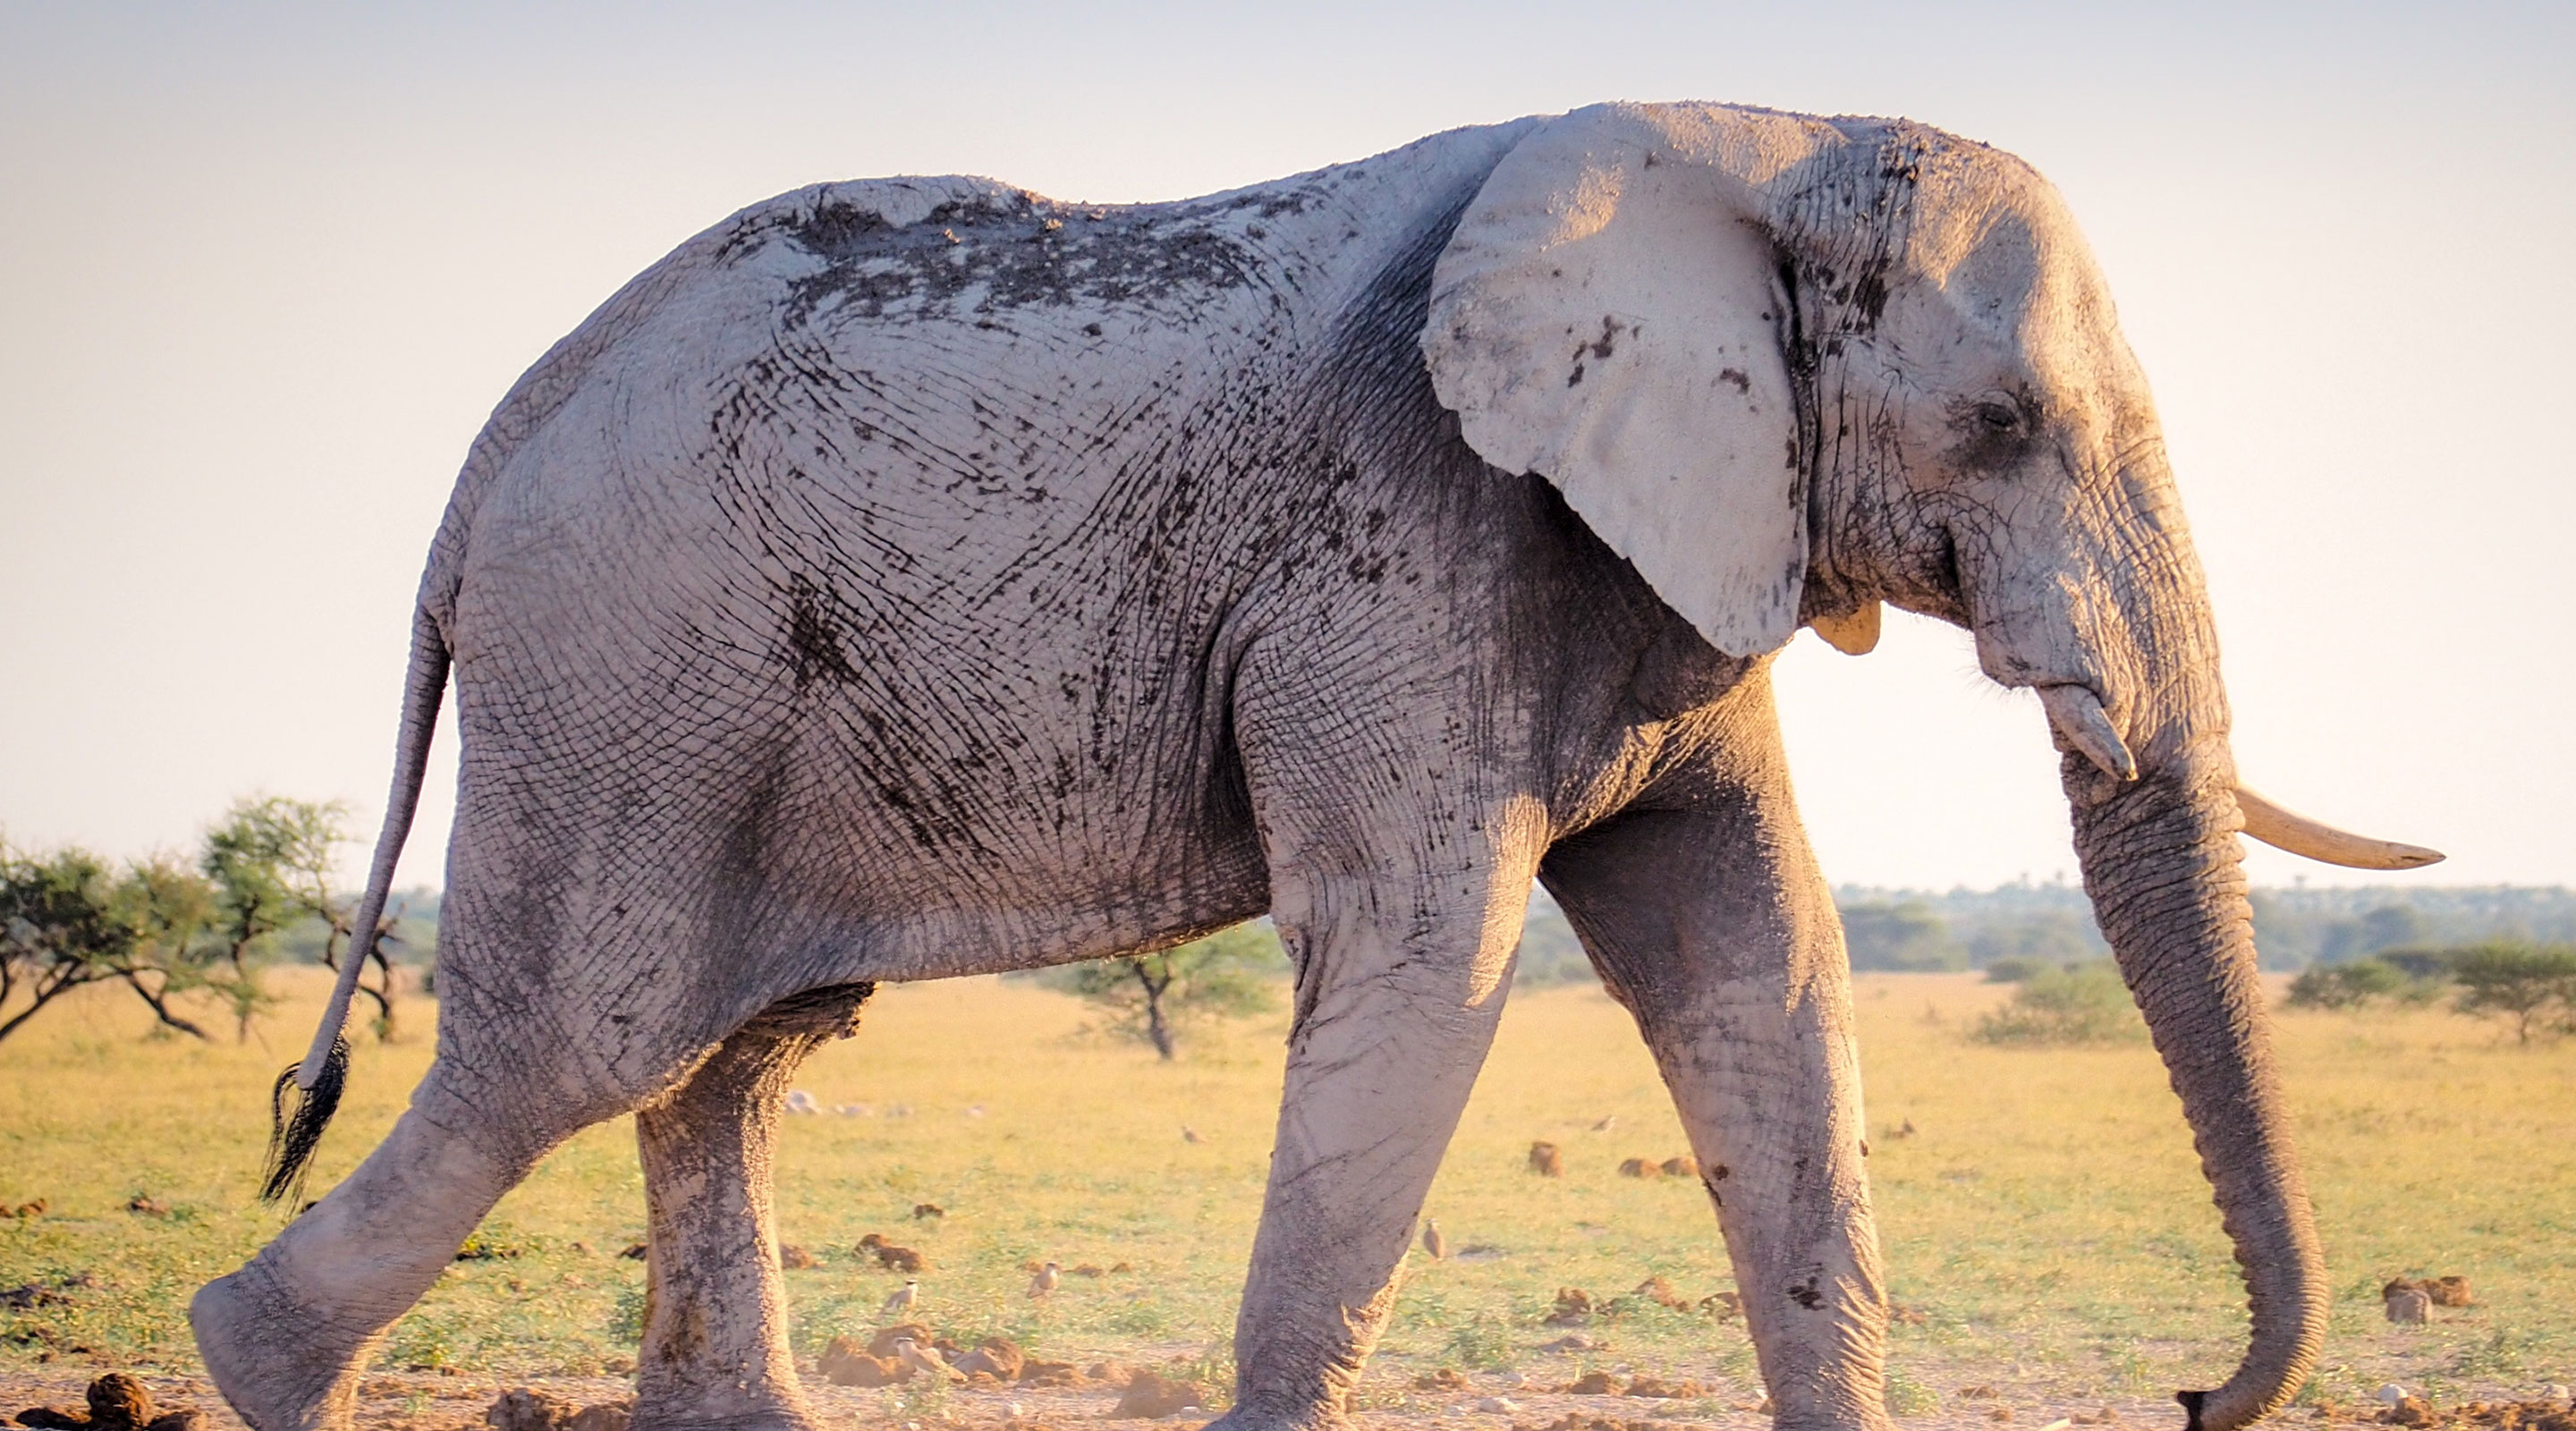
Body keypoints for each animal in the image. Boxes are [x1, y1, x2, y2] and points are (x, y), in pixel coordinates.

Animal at [191, 101, 2442, 1431]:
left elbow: (1760, 957)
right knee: (575, 1042)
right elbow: (1426, 958)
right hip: (633, 667)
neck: (1755, 135)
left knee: (724, 1056)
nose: (2192, 1400)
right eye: (1996, 427)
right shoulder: (1409, 531)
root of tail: (502, 428)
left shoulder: (1656, 547)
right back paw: (244, 1363)